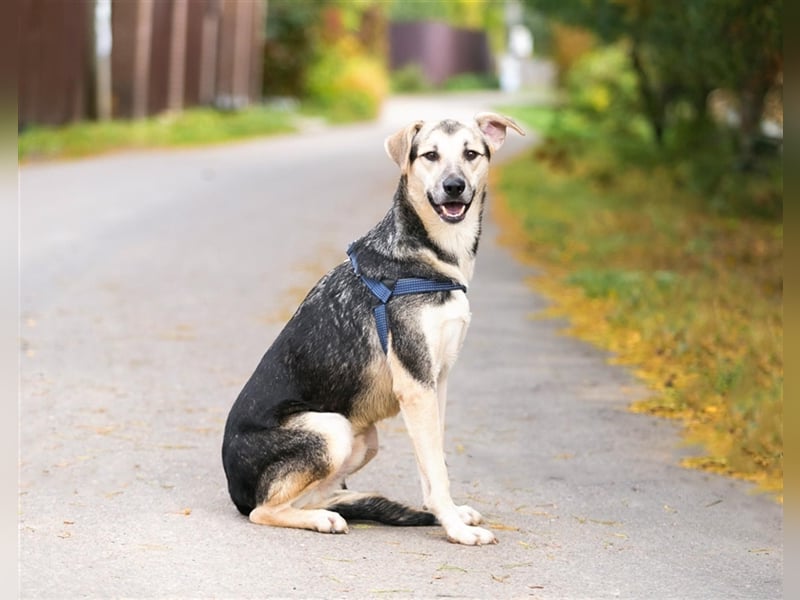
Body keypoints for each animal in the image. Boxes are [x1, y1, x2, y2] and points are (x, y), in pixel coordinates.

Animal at [223, 111, 524, 544]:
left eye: (471, 154)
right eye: (430, 155)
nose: (454, 186)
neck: (428, 254)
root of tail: (235, 489)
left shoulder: (436, 382)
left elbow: (433, 462)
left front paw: (446, 514)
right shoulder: (416, 385)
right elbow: (436, 469)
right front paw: (453, 527)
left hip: (362, 437)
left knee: (314, 496)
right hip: (331, 429)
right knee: (265, 509)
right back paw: (322, 519)